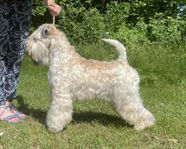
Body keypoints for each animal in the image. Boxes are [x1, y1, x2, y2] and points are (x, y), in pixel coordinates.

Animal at [25, 23, 155, 132]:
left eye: (35, 39)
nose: (25, 46)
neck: (62, 58)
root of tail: (123, 62)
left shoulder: (61, 95)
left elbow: (57, 112)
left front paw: (54, 127)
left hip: (127, 96)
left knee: (139, 110)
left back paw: (142, 125)